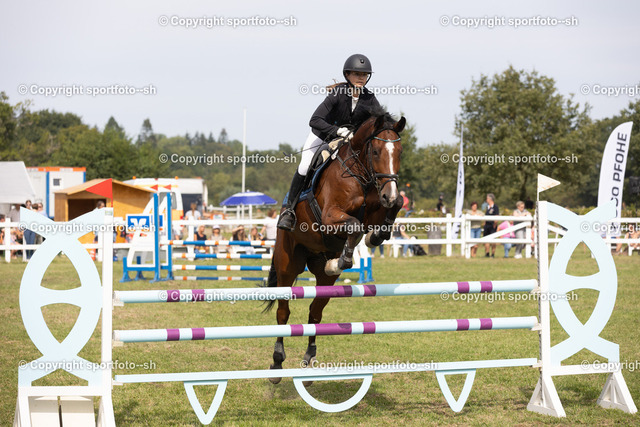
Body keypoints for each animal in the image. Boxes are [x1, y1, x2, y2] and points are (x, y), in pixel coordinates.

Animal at [265, 109, 406, 383]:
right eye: (375, 152)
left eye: (400, 152)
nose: (389, 193)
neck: (360, 173)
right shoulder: (330, 216)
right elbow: (353, 225)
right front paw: (345, 259)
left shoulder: (376, 208)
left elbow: (391, 210)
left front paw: (375, 237)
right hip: (288, 265)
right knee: (283, 312)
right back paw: (276, 364)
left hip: (323, 280)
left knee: (315, 312)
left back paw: (309, 359)